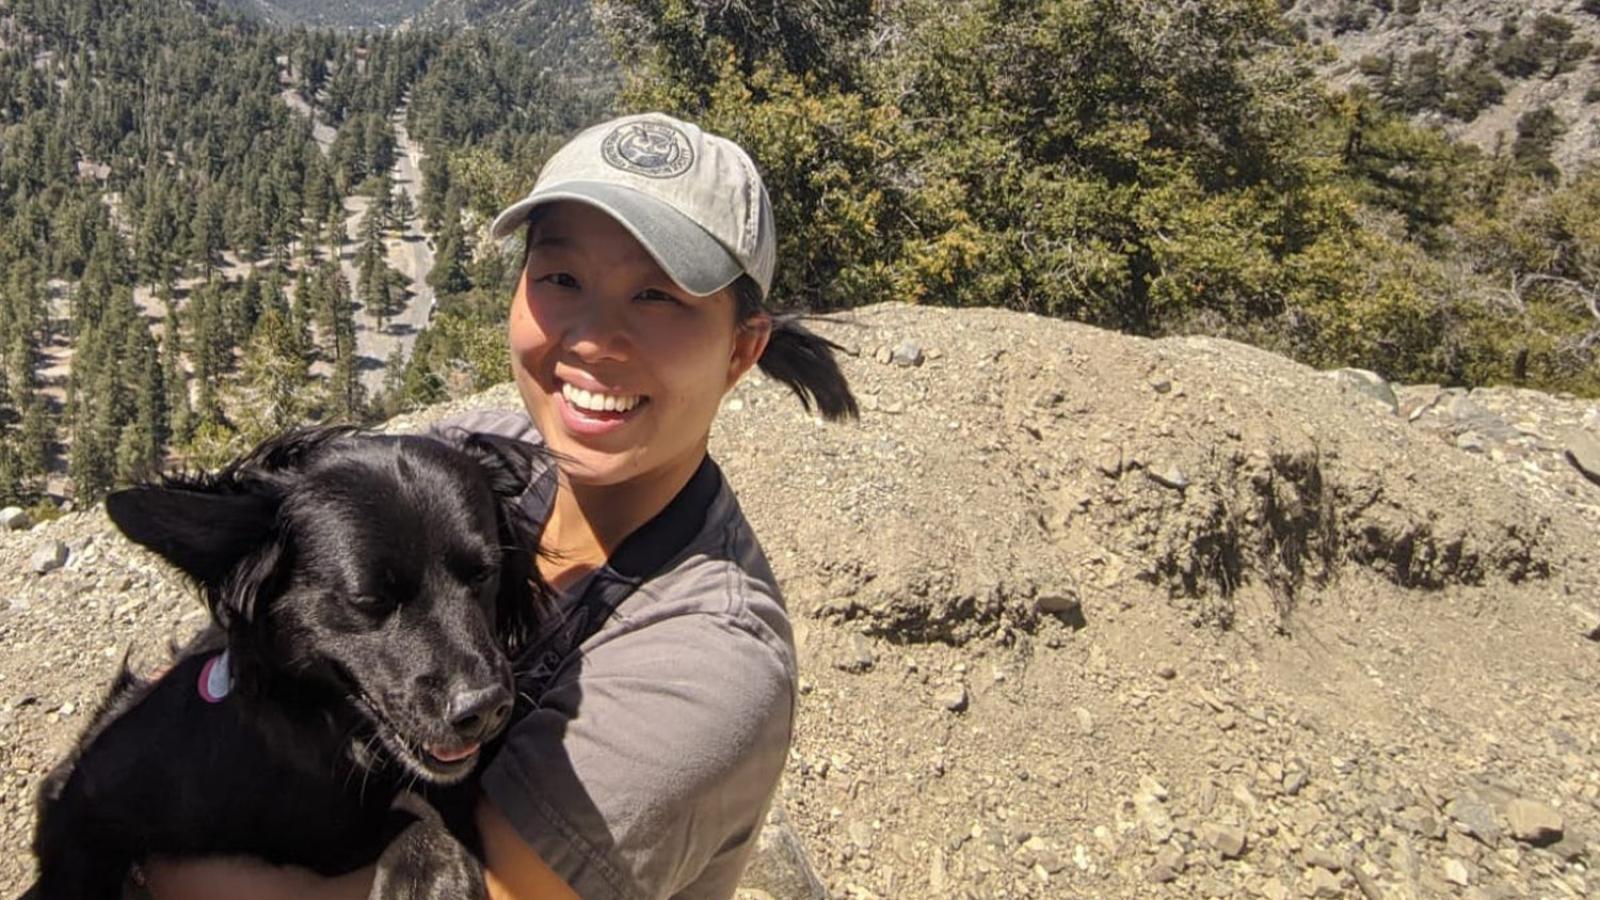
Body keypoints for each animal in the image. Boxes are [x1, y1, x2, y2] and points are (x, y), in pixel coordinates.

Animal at [25, 425, 547, 896]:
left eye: (485, 574)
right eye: (369, 599)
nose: (486, 710)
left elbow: (428, 807)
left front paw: (431, 872)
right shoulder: (88, 798)